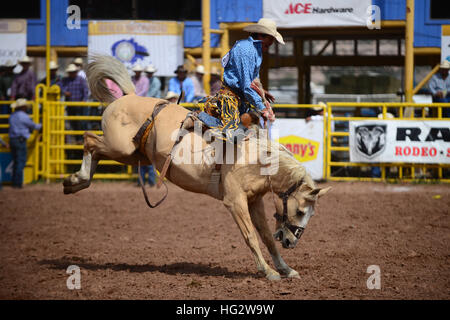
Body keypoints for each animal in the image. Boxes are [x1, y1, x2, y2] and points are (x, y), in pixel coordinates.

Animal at [62, 55, 330, 280]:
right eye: (300, 212)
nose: (291, 242)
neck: (253, 159)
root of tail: (127, 96)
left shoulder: (254, 201)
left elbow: (266, 237)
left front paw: (286, 269)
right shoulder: (234, 201)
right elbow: (251, 237)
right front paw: (268, 272)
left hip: (133, 154)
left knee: (95, 150)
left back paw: (74, 181)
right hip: (121, 148)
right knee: (88, 139)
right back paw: (76, 178)